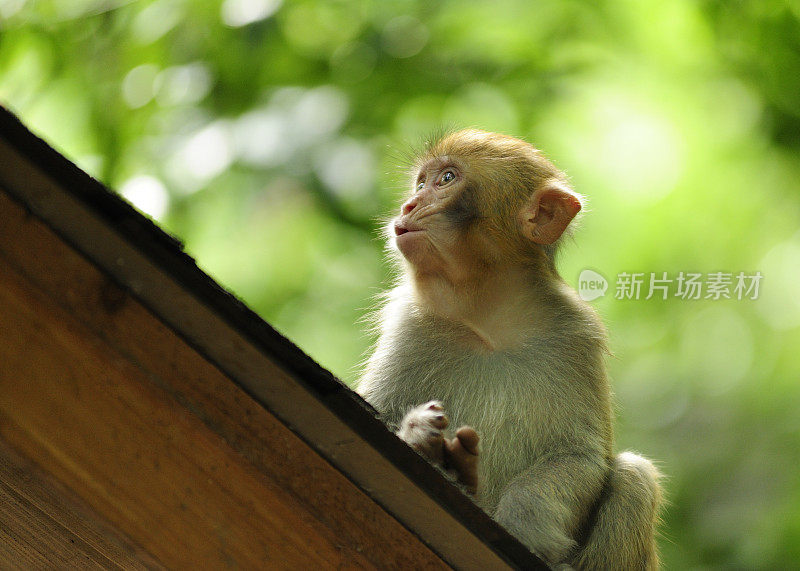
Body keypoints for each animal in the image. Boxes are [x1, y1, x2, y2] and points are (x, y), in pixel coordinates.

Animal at [356, 131, 664, 571]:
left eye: (446, 178)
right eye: (420, 183)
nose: (409, 205)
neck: (489, 320)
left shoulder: (576, 334)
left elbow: (580, 455)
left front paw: (526, 522)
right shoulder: (407, 324)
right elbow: (377, 410)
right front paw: (420, 437)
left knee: (634, 477)